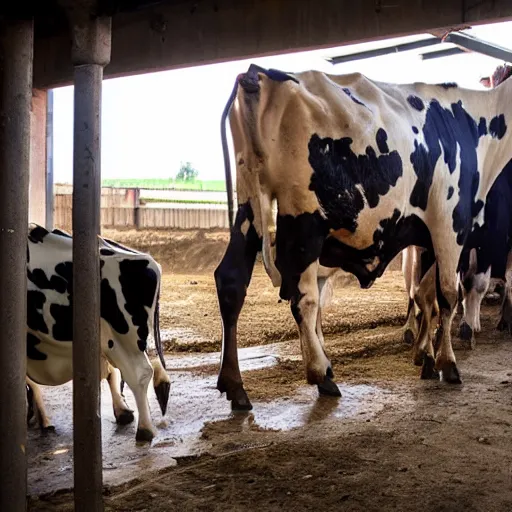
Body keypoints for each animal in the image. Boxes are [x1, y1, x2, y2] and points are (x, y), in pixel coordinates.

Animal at [215, 64, 512, 410]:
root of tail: (258, 73)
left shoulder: (424, 238)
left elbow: (424, 294)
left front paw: (425, 356)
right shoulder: (449, 223)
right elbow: (448, 295)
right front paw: (447, 363)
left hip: (248, 205)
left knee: (231, 281)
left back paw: (234, 385)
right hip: (303, 219)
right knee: (303, 299)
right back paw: (321, 373)